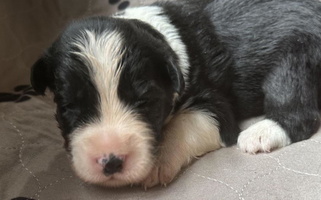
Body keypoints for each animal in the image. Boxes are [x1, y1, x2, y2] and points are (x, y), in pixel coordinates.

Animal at [30, 0, 320, 188]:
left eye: (145, 102)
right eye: (67, 107)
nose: (111, 161)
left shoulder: (214, 103)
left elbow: (187, 121)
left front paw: (159, 160)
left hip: (295, 58)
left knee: (298, 109)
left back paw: (261, 133)